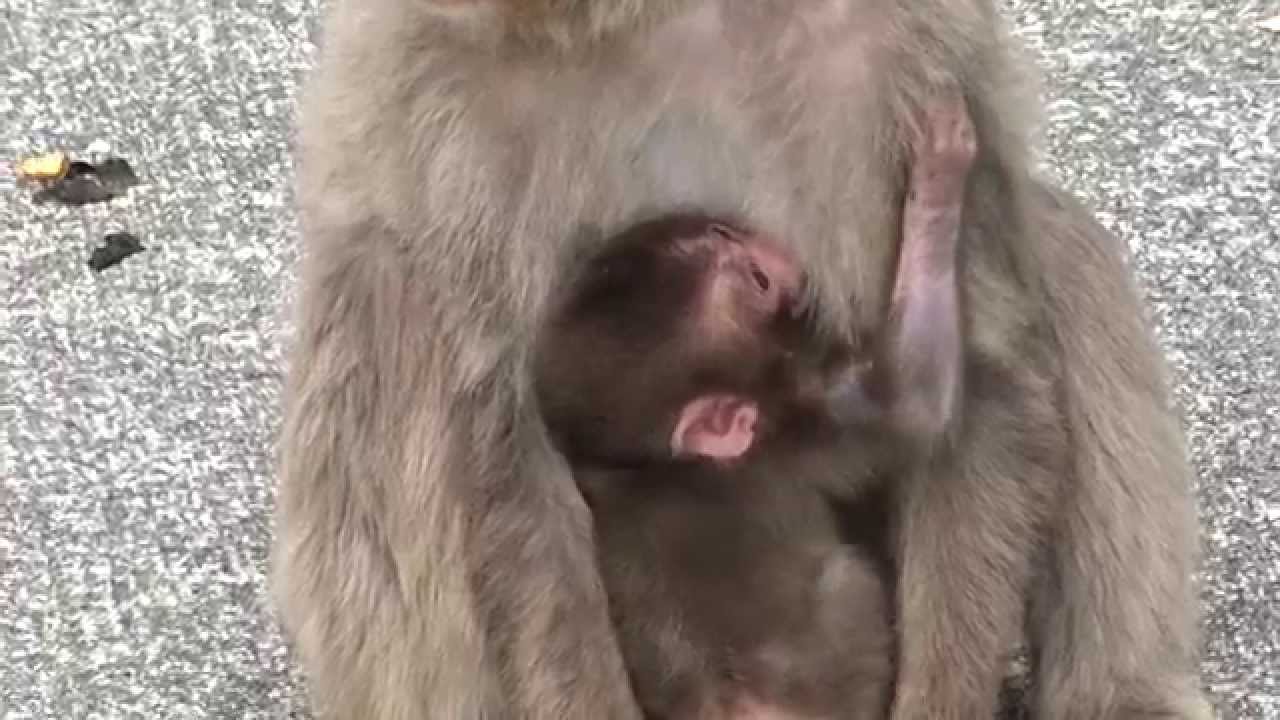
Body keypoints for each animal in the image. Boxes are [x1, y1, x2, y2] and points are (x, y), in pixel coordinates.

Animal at [273, 2, 1212, 719]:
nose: (766, 266)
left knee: (1063, 244)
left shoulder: (910, 42)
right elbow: (511, 465)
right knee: (380, 303)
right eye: (752, 277)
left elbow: (984, 365)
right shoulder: (434, 96)